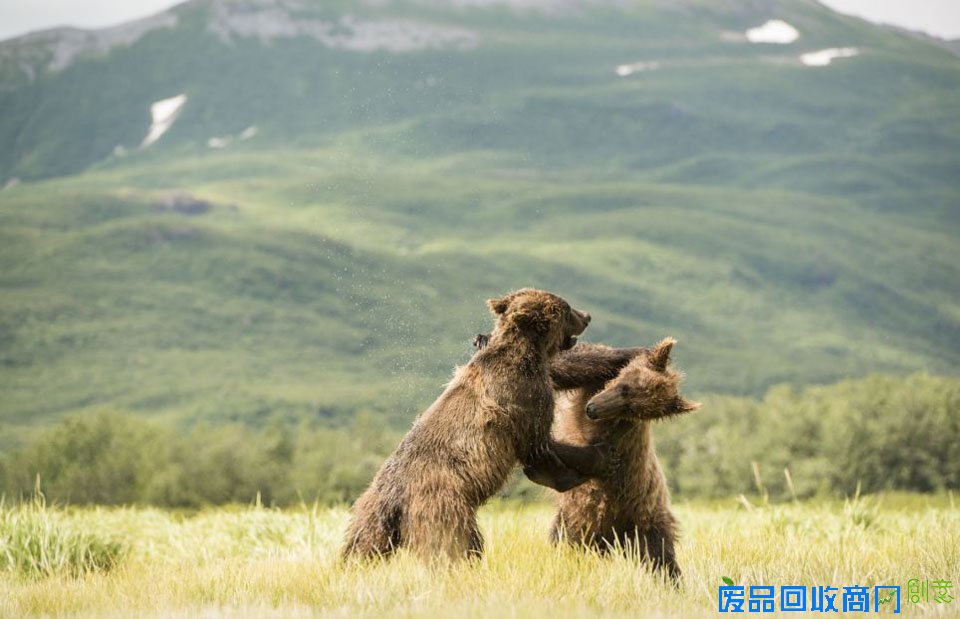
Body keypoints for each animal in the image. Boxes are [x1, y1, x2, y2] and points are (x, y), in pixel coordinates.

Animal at [342, 288, 641, 562]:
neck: (526, 353)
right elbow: (540, 445)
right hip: (441, 505)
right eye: (567, 309)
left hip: (369, 513)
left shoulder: (541, 374)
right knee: (456, 543)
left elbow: (567, 369)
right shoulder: (524, 396)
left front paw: (634, 352)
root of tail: (394, 499)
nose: (587, 315)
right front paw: (602, 458)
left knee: (361, 545)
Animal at [550, 337, 700, 581]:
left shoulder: (620, 437)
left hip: (644, 515)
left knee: (661, 556)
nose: (592, 409)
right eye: (624, 387)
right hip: (583, 517)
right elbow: (564, 363)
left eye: (634, 410)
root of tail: (613, 536)